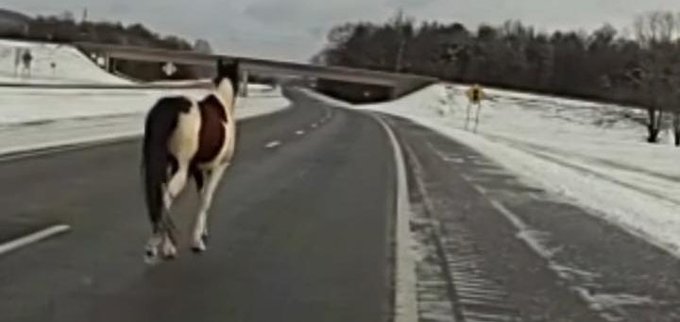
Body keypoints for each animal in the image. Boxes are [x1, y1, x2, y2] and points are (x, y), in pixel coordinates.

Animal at [139, 59, 240, 262]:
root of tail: (170, 108)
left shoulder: (198, 169)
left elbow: (201, 197)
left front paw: (202, 234)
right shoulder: (218, 167)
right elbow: (206, 200)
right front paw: (197, 241)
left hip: (168, 166)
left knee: (161, 199)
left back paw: (161, 246)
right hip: (180, 168)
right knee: (165, 199)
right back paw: (161, 247)